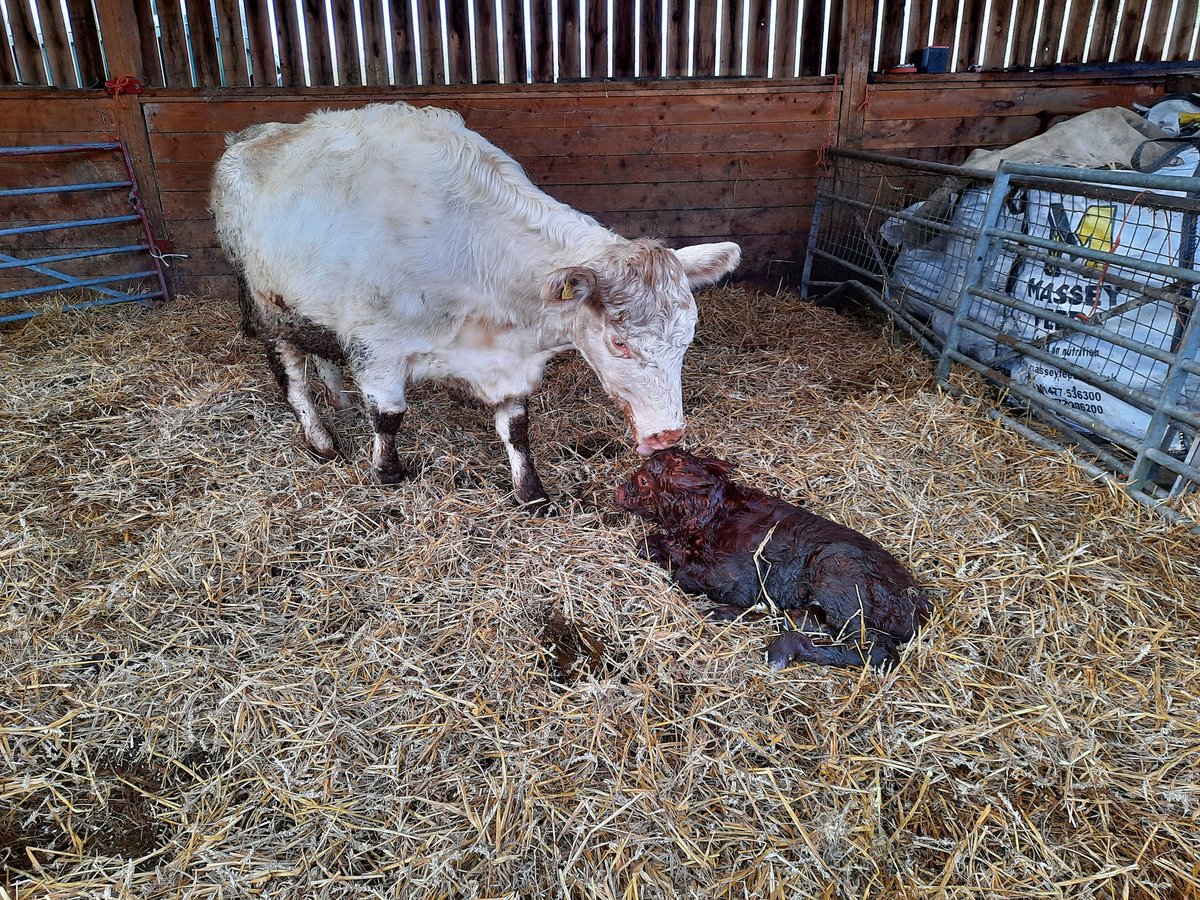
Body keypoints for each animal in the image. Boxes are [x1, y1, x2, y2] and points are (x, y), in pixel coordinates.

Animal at [210, 102, 740, 509]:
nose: (667, 436)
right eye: (619, 343)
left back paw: (339, 399)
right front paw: (387, 472)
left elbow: (517, 428)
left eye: (687, 340)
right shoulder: (376, 346)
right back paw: (320, 438)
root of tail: (249, 136)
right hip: (266, 304)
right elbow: (388, 415)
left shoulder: (510, 358)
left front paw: (531, 492)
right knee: (292, 374)